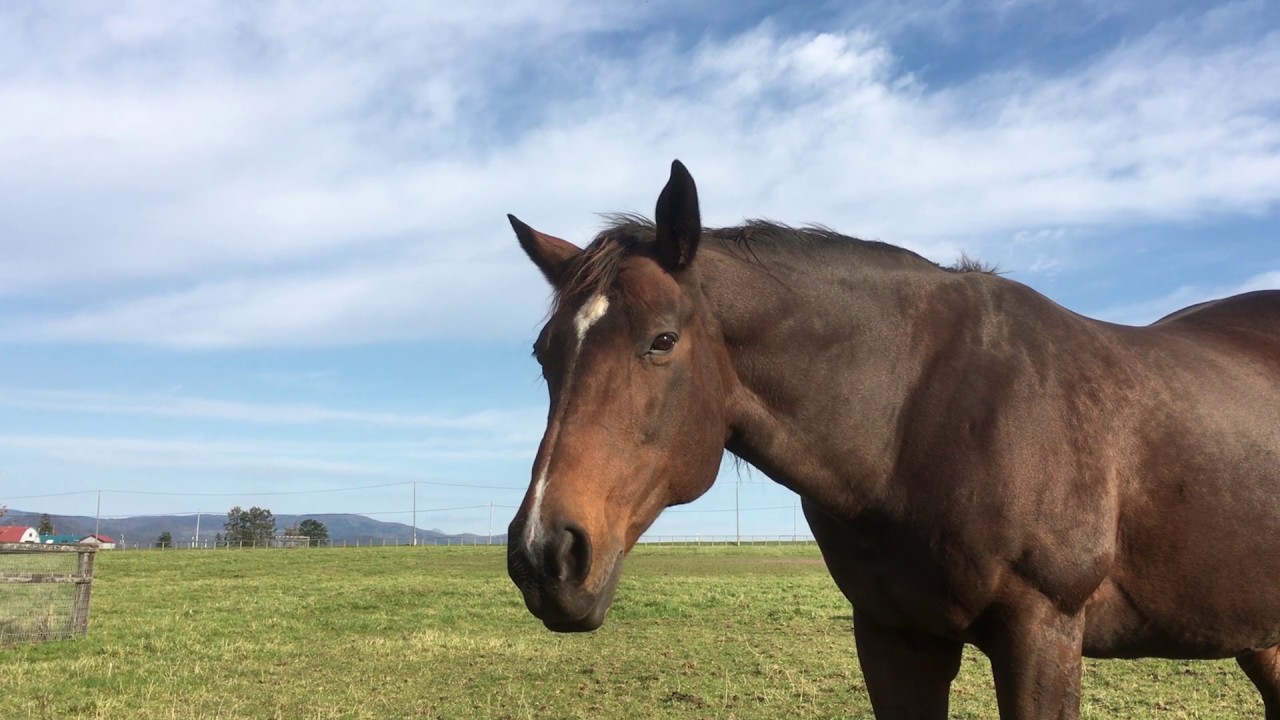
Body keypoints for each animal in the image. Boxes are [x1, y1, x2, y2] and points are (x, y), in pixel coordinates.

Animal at [504, 160, 1280, 719]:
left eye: (662, 341)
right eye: (544, 354)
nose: (546, 554)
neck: (915, 415)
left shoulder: (1044, 635)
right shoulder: (894, 639)